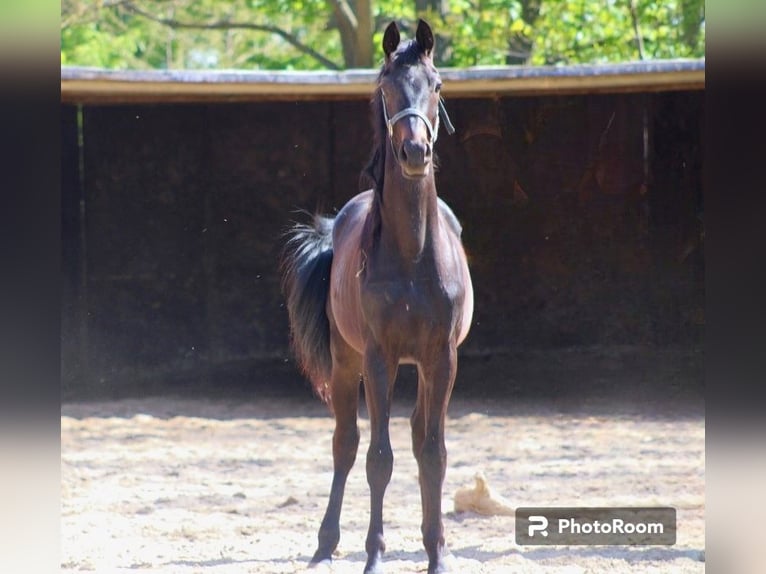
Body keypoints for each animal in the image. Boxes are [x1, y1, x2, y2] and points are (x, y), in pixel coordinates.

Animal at [282, 19, 474, 574]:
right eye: (386, 90)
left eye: (437, 86)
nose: (414, 154)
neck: (412, 253)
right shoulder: (378, 358)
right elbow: (377, 459)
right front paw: (373, 554)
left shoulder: (442, 358)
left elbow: (433, 455)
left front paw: (437, 555)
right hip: (348, 364)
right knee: (346, 444)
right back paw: (324, 546)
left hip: (423, 369)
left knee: (415, 434)